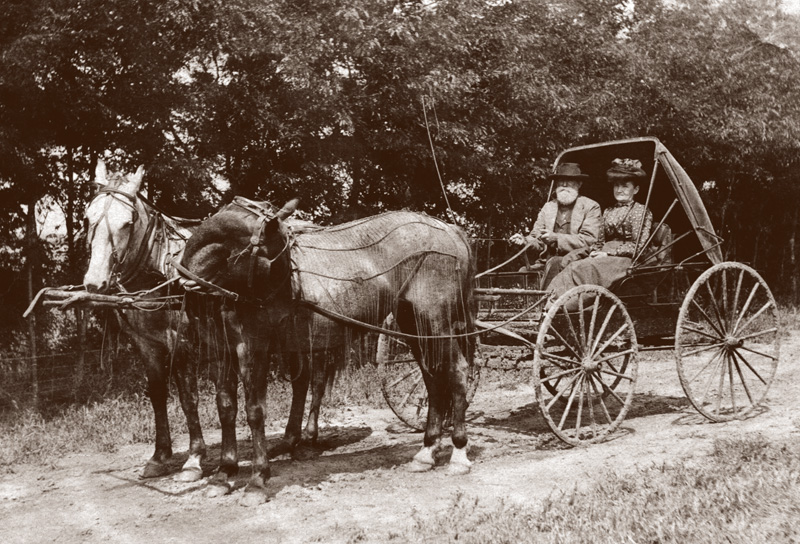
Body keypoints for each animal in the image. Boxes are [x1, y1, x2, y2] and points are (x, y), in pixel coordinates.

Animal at [181, 200, 476, 506]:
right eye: (283, 253)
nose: (294, 295)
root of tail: (448, 230)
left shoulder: (252, 347)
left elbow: (254, 411)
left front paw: (257, 481)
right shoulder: (220, 351)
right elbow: (226, 408)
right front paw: (223, 474)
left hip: (436, 324)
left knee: (457, 373)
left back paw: (458, 453)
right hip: (414, 326)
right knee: (433, 379)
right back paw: (427, 451)